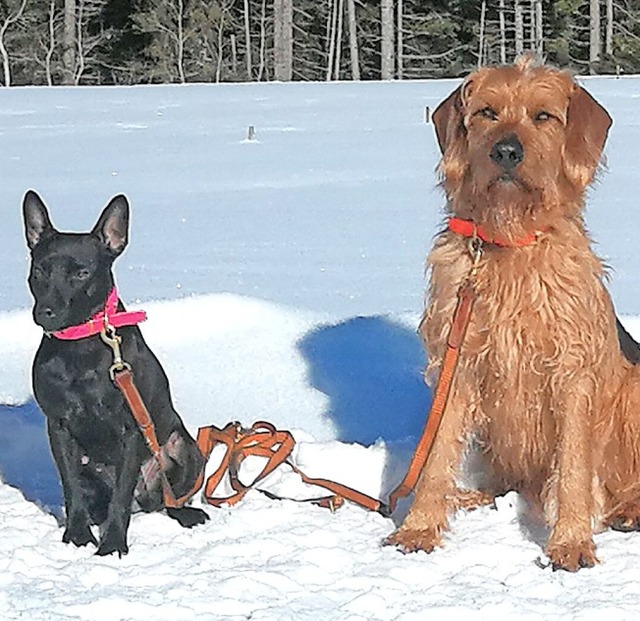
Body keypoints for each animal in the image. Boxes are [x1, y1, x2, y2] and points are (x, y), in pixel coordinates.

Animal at [23, 191, 209, 556]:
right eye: (39, 271)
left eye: (81, 273)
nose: (45, 312)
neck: (80, 347)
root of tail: (145, 497)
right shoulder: (59, 427)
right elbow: (71, 488)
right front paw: (78, 536)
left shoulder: (131, 429)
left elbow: (120, 497)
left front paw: (111, 546)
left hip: (185, 449)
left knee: (169, 500)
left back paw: (187, 514)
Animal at [388, 58, 640, 572]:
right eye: (486, 112)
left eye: (543, 116)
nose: (506, 151)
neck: (509, 242)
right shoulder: (459, 362)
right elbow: (437, 454)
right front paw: (420, 525)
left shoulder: (572, 372)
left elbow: (573, 466)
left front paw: (571, 540)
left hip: (634, 391)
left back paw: (627, 509)